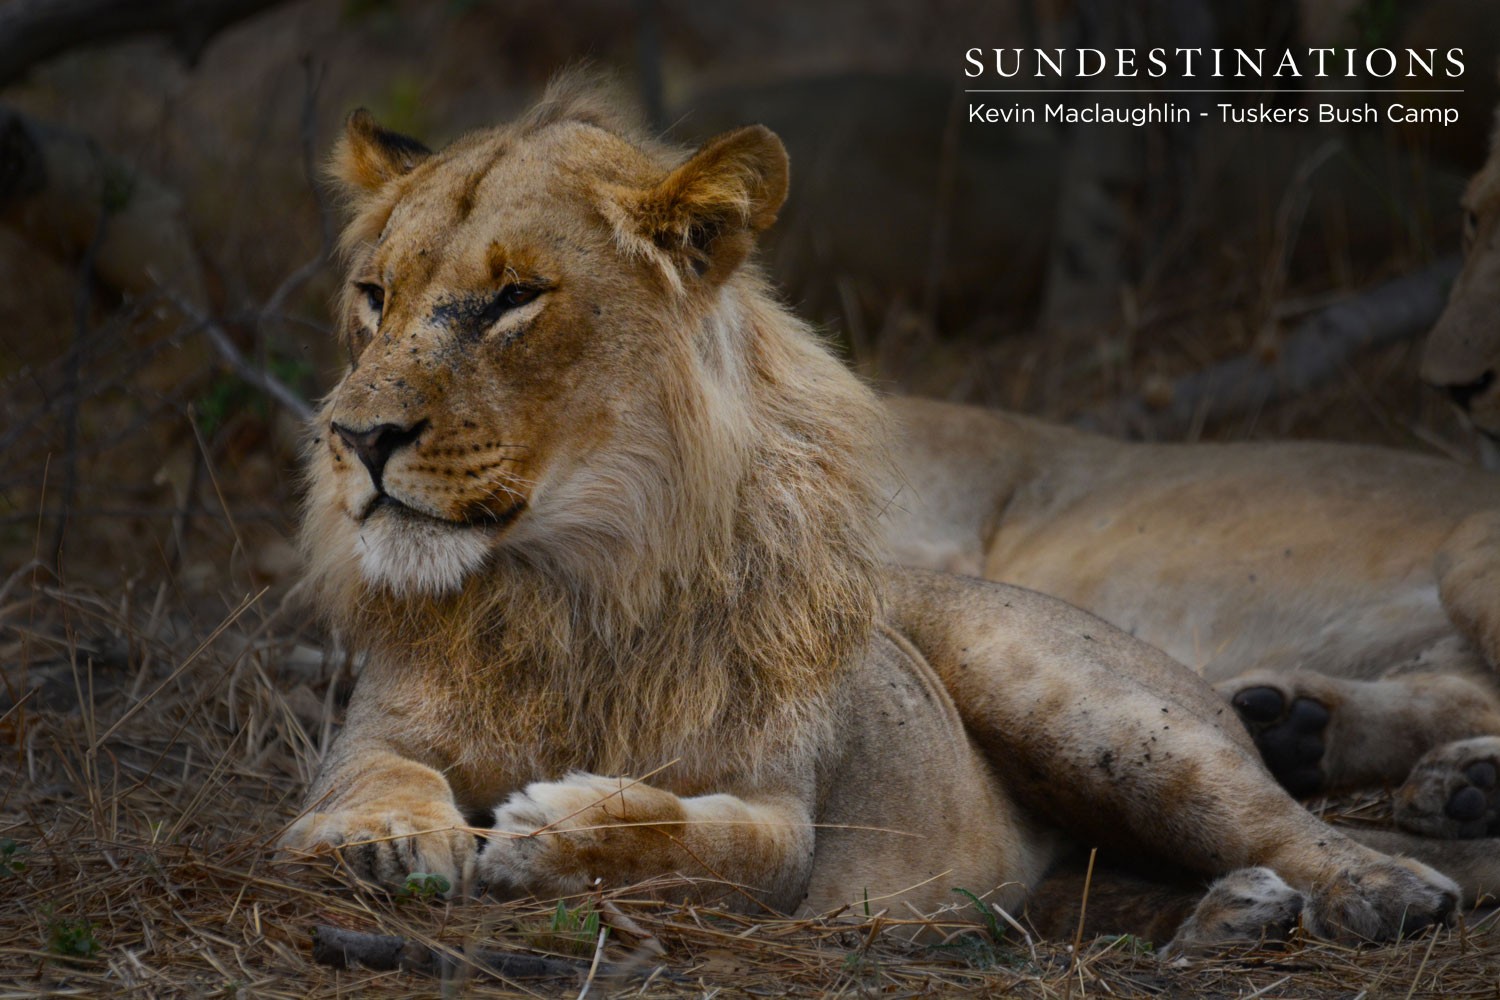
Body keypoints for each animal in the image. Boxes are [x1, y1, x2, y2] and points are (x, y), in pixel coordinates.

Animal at [283, 82, 1476, 953]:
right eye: (375, 296)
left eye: (516, 298)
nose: (356, 436)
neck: (573, 585)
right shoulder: (379, 729)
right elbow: (372, 775)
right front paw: (383, 837)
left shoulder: (780, 811)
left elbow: (706, 841)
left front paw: (558, 826)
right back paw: (1232, 915)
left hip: (1092, 708)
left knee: (1274, 815)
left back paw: (1386, 878)